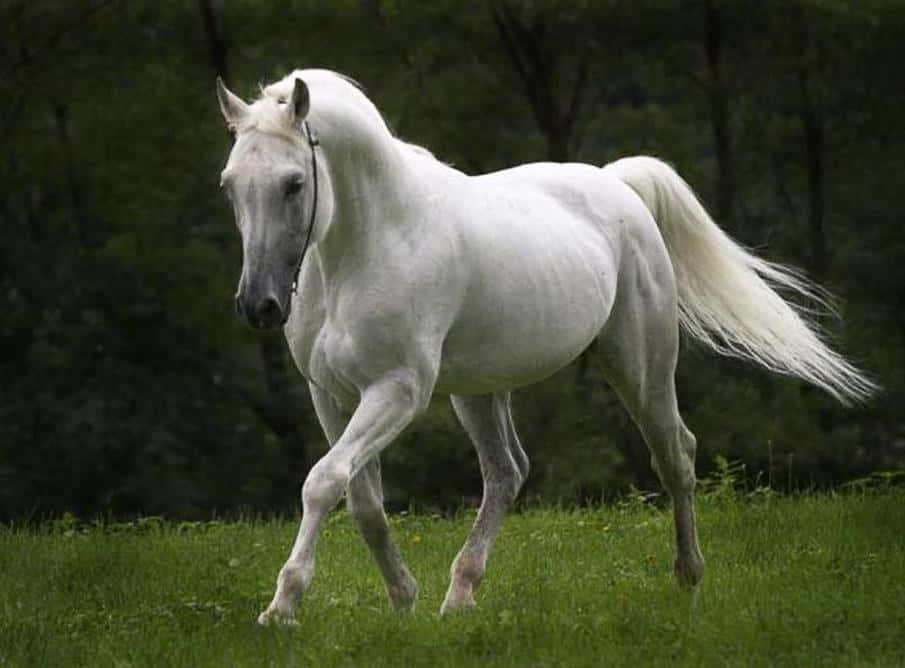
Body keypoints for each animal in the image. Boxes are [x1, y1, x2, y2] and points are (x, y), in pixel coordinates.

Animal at [214, 69, 875, 625]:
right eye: (230, 186)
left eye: (294, 183)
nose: (258, 306)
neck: (372, 242)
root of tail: (617, 184)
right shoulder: (330, 395)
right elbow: (361, 500)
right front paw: (403, 600)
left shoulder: (397, 391)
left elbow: (323, 482)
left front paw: (282, 607)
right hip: (479, 390)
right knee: (508, 472)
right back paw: (459, 597)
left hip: (638, 368)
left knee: (675, 456)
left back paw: (688, 578)